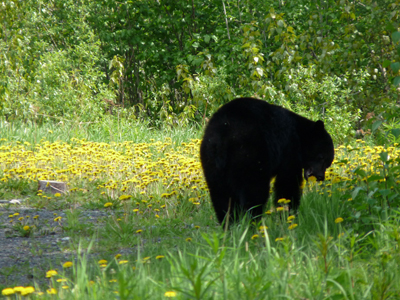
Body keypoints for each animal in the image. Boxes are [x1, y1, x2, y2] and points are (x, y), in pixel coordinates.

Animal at [200, 97, 334, 224]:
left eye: (327, 163)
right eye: (322, 157)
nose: (321, 177)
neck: (299, 133)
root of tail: (223, 137)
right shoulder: (289, 148)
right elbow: (287, 182)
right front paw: (289, 212)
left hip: (211, 162)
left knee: (221, 196)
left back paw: (229, 224)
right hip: (250, 156)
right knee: (254, 193)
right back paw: (252, 221)